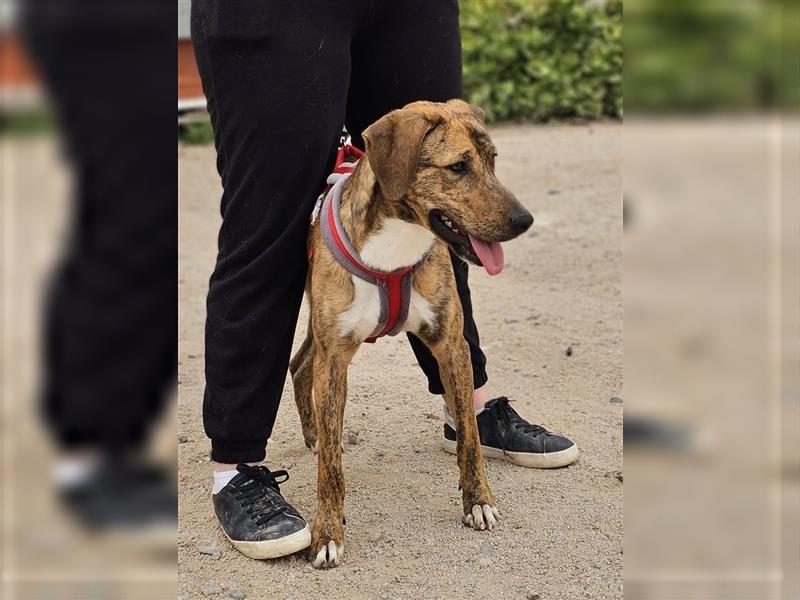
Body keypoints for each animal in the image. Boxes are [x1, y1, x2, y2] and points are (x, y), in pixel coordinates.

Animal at [290, 98, 536, 568]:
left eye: (493, 160)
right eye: (458, 167)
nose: (524, 220)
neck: (396, 246)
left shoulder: (451, 346)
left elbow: (470, 436)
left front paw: (478, 501)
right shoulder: (337, 359)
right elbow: (330, 470)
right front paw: (327, 532)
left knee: (299, 363)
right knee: (305, 372)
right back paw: (317, 437)